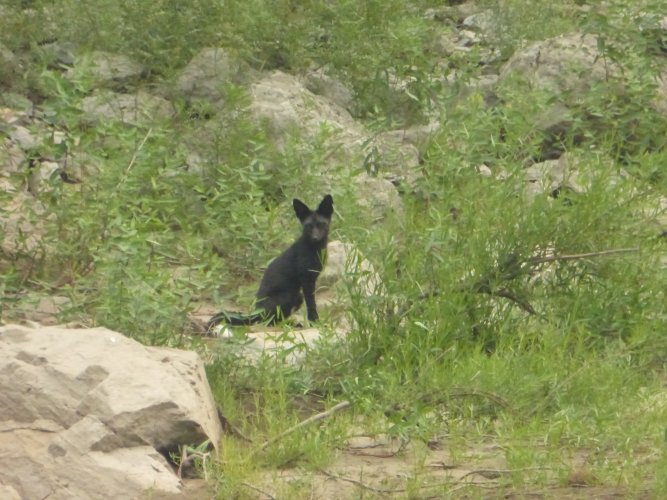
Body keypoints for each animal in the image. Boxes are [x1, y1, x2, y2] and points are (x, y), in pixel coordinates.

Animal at [207, 194, 333, 330]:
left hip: (297, 297)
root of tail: (256, 312)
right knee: (268, 322)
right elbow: (312, 305)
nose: (315, 237)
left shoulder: (312, 278)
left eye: (321, 224)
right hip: (288, 296)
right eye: (308, 226)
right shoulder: (306, 279)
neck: (315, 249)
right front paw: (315, 323)